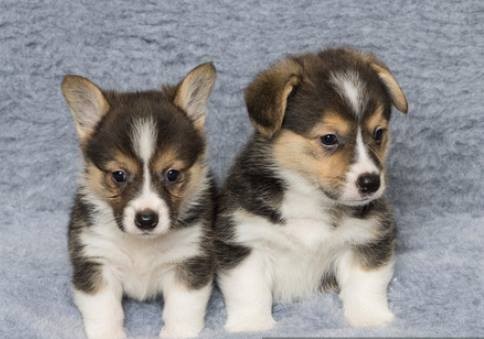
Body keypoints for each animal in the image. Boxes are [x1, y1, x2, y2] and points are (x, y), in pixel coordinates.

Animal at [61, 62, 216, 338]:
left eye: (172, 174)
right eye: (119, 175)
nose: (146, 220)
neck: (141, 245)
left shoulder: (188, 262)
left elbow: (182, 311)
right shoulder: (96, 262)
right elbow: (104, 311)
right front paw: (110, 334)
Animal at [216, 47, 408, 332]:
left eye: (378, 133)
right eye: (329, 138)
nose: (371, 182)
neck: (309, 197)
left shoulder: (365, 238)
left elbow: (365, 284)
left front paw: (370, 319)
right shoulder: (244, 240)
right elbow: (249, 290)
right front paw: (252, 326)